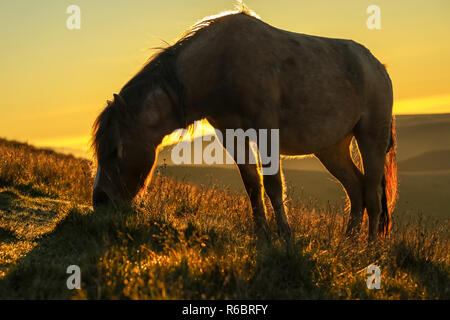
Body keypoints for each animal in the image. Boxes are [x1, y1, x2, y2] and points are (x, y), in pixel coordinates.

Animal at [90, 6, 398, 242]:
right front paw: (263, 233)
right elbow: (252, 183)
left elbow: (273, 183)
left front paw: (285, 234)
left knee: (372, 193)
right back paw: (349, 242)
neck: (220, 65)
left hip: (371, 138)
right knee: (356, 189)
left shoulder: (266, 131)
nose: (100, 201)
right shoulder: (231, 134)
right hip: (332, 148)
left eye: (117, 150)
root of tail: (378, 67)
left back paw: (370, 249)